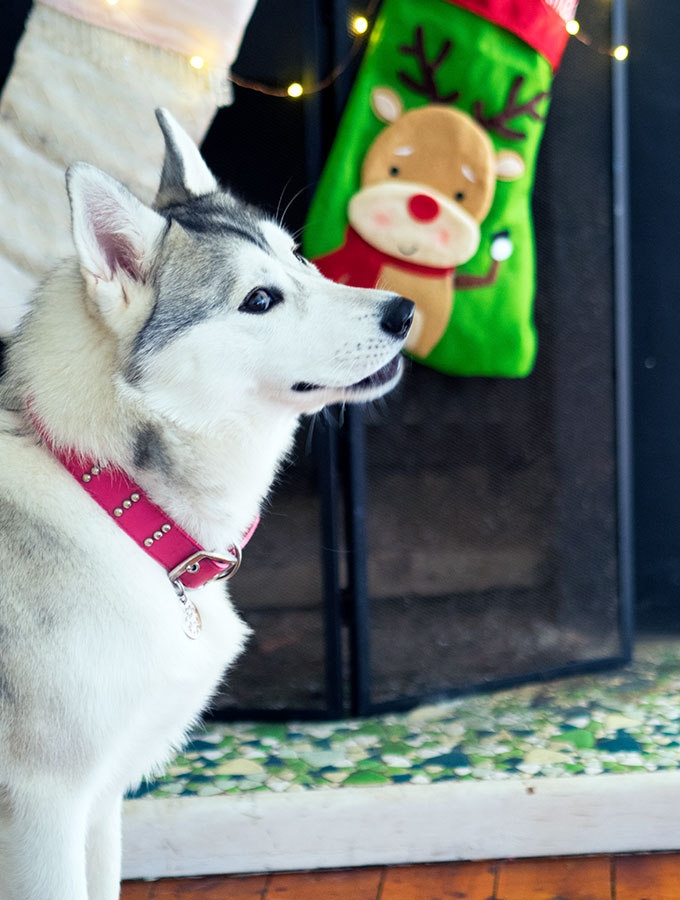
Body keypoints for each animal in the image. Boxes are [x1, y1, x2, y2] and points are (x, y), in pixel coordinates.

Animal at [0, 109, 414, 896]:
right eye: (259, 300)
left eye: (298, 258)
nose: (404, 310)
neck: (108, 491)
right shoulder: (45, 813)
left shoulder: (98, 804)